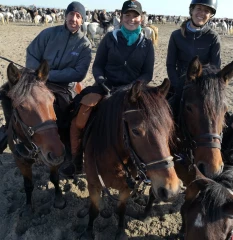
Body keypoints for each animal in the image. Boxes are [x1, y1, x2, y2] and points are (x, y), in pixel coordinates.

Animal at [6, 60, 66, 216]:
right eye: (21, 106)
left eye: (52, 100)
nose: (57, 152)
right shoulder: (21, 162)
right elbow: (28, 185)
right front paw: (28, 207)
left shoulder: (53, 158)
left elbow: (55, 178)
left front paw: (59, 199)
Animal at [80, 80, 180, 240]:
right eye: (135, 131)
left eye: (169, 127)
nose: (171, 190)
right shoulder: (93, 185)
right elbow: (93, 210)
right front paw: (88, 232)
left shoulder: (126, 188)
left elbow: (121, 209)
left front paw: (120, 232)